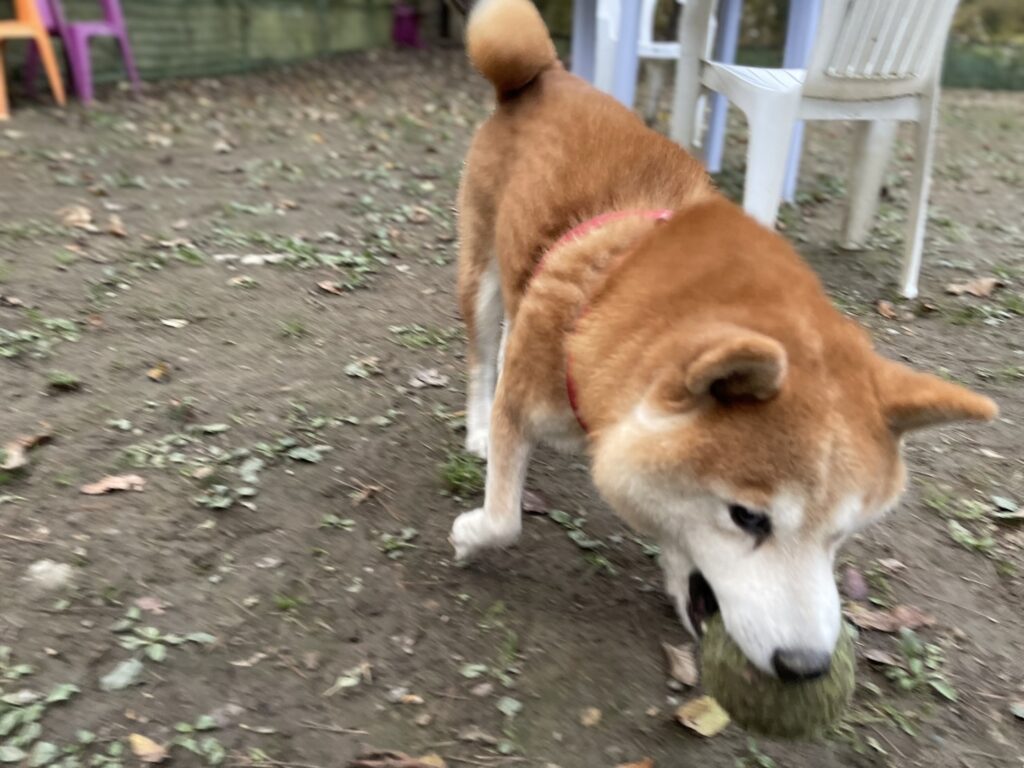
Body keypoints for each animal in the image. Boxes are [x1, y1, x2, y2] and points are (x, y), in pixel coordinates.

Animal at [449, 0, 997, 680]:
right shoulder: (523, 403)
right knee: (481, 361)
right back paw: (476, 430)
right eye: (748, 517)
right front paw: (472, 532)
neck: (608, 297)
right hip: (482, 278)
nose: (806, 666)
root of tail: (545, 75)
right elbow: (505, 518)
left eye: (842, 534)